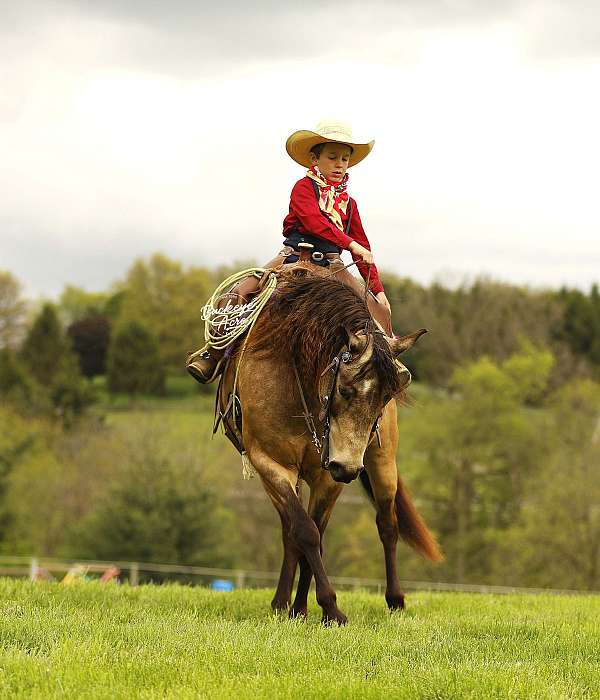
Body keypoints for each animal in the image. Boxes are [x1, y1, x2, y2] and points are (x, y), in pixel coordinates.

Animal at [218, 268, 442, 624]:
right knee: (291, 531)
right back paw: (283, 602)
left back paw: (394, 599)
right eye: (345, 389)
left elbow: (317, 533)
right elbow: (304, 532)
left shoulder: (329, 475)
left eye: (386, 397)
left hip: (382, 460)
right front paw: (315, 607)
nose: (347, 468)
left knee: (387, 525)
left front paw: (321, 607)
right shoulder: (269, 464)